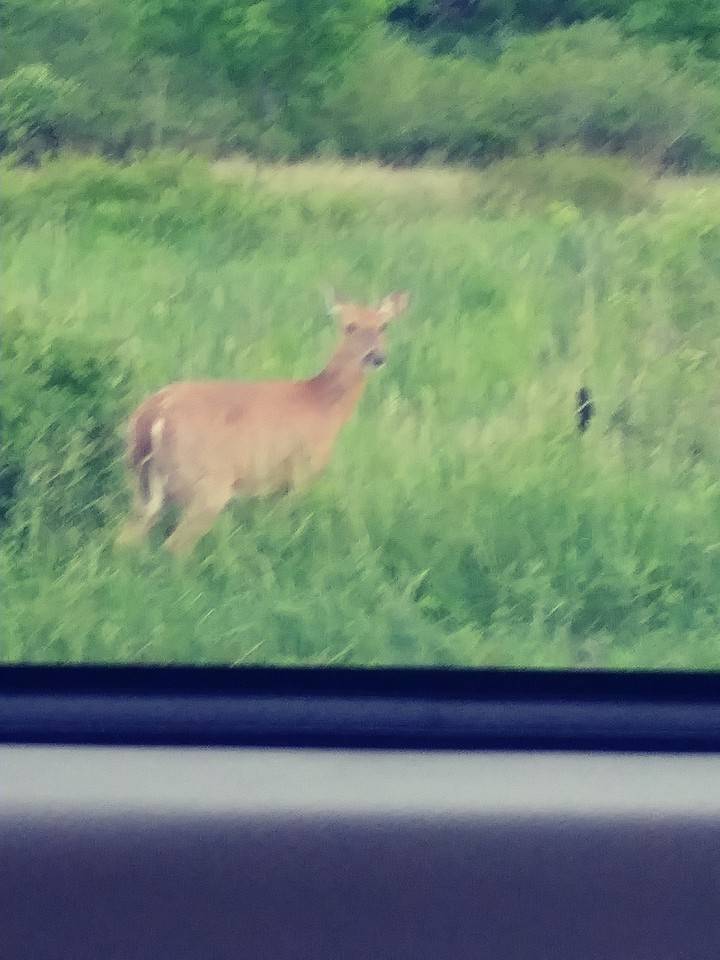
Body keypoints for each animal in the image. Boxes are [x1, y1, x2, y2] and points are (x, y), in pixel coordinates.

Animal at [116, 289, 410, 555]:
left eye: (384, 325)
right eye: (350, 326)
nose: (376, 357)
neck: (322, 406)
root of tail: (154, 413)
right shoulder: (300, 473)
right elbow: (280, 529)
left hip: (140, 482)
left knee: (126, 537)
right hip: (208, 485)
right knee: (175, 546)